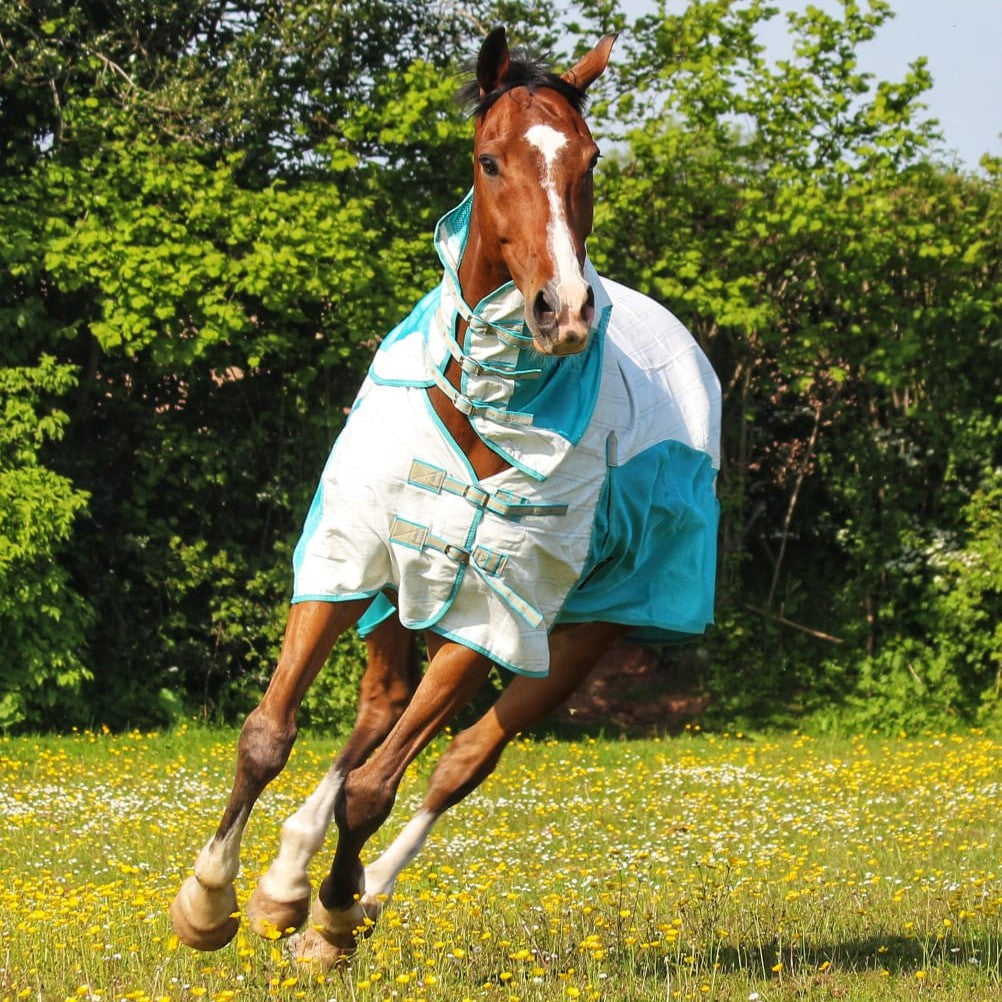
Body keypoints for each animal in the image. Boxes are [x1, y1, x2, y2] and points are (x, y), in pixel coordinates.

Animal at [170, 27, 721, 968]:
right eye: (490, 160)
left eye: (590, 159)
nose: (563, 311)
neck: (480, 407)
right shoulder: (348, 557)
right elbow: (268, 734)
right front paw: (210, 901)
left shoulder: (493, 609)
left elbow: (379, 787)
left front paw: (331, 921)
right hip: (401, 593)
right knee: (380, 709)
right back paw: (284, 883)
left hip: (575, 639)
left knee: (458, 760)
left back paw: (349, 900)